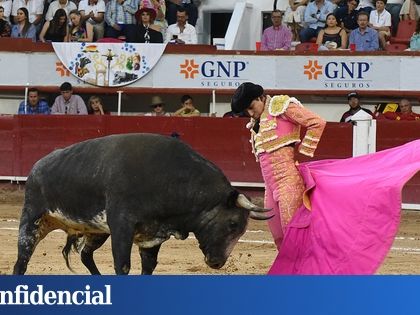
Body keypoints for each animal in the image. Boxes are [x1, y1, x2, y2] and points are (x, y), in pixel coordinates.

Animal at [13, 135, 272, 276]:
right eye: (233, 223)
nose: (217, 262)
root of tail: (37, 166)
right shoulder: (121, 227)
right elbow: (123, 266)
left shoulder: (151, 237)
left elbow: (148, 268)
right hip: (32, 220)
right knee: (21, 262)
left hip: (96, 231)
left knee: (86, 255)